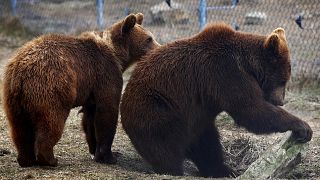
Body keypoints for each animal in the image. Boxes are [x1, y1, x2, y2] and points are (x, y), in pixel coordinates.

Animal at [2, 12, 160, 167]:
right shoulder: (105, 74)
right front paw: (110, 156)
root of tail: (21, 71)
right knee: (51, 121)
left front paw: (95, 151)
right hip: (51, 86)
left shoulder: (92, 88)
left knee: (19, 128)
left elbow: (89, 119)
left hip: (12, 95)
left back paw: (25, 159)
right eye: (149, 39)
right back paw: (50, 159)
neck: (117, 55)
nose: (159, 47)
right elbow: (107, 112)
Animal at [120, 22, 312, 177]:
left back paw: (225, 170)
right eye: (282, 80)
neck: (248, 65)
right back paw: (174, 169)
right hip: (158, 107)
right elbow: (251, 110)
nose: (280, 101)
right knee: (165, 145)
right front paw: (303, 127)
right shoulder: (225, 73)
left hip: (197, 121)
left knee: (207, 145)